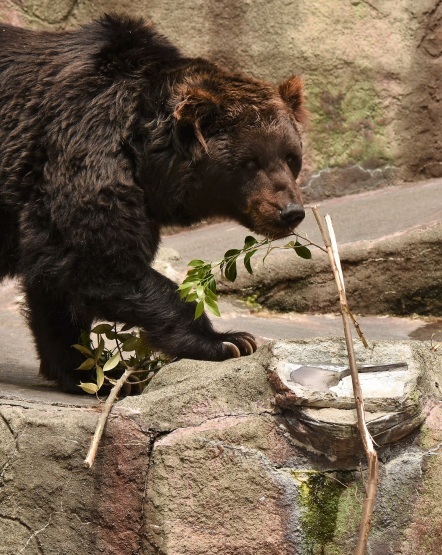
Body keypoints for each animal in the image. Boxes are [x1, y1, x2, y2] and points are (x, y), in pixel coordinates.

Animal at [0, 15, 306, 394]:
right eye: (250, 162)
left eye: (291, 157)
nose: (290, 212)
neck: (145, 158)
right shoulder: (83, 146)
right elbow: (94, 256)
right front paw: (228, 340)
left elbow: (54, 289)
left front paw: (95, 373)